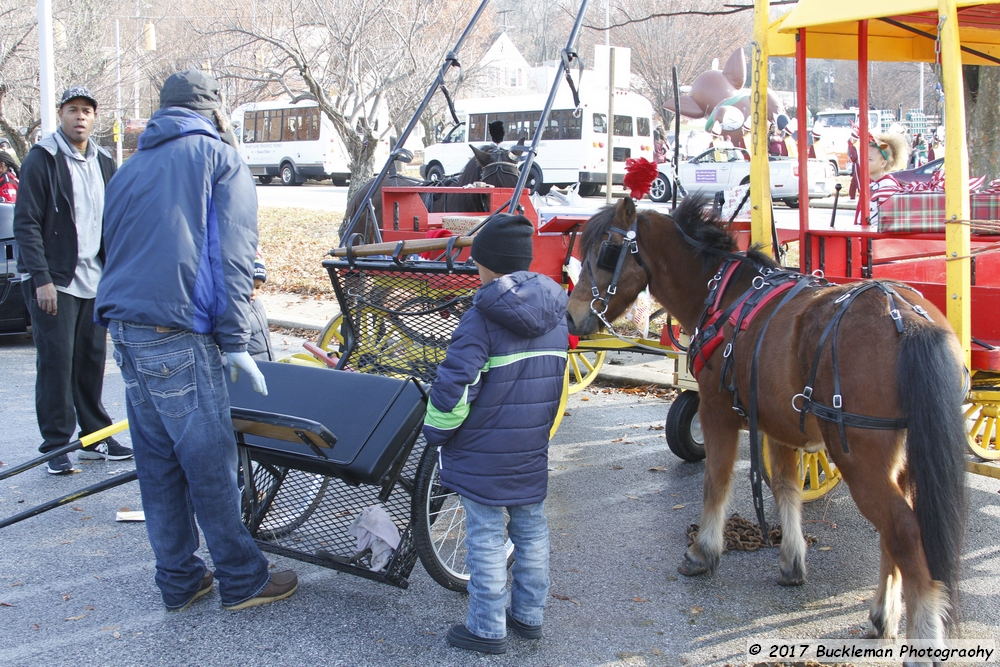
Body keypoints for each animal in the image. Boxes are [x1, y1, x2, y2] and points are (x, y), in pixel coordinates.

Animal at [568, 196, 964, 648]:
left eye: (606, 252)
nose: (571, 316)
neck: (725, 295)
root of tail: (910, 320)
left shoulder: (716, 411)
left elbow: (716, 481)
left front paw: (703, 551)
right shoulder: (779, 425)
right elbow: (786, 488)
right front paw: (791, 561)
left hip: (860, 461)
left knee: (905, 533)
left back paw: (923, 634)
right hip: (900, 460)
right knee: (895, 535)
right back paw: (883, 613)